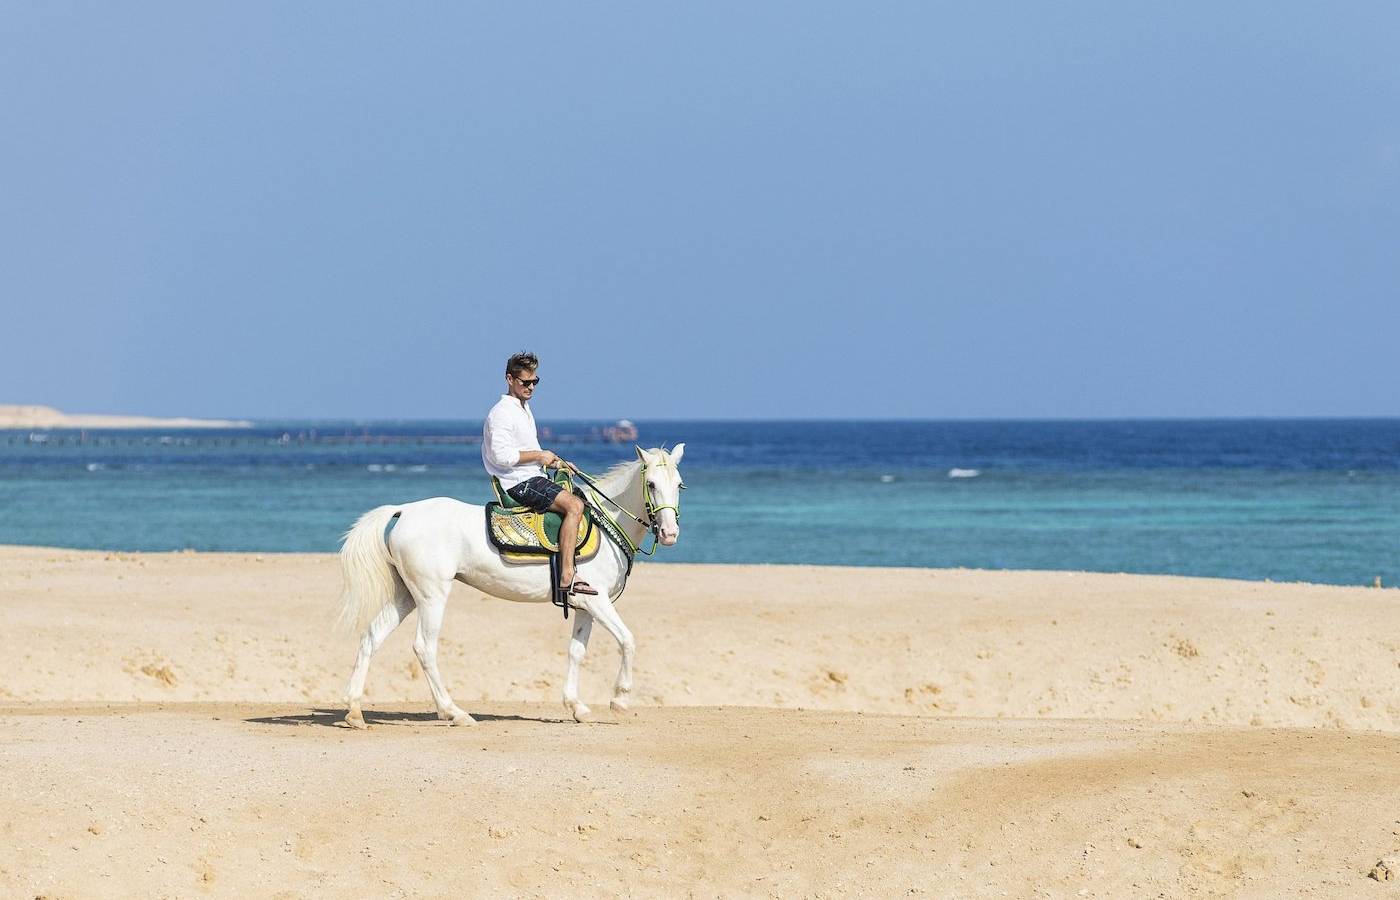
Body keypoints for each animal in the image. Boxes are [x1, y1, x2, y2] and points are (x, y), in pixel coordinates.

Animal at [334, 443, 685, 727]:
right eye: (651, 484)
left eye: (679, 484)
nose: (670, 534)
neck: (608, 521)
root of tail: (405, 510)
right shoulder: (598, 602)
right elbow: (628, 640)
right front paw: (620, 699)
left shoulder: (585, 604)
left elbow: (576, 652)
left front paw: (577, 707)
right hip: (432, 596)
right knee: (424, 648)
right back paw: (454, 712)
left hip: (406, 594)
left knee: (372, 636)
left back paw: (354, 711)